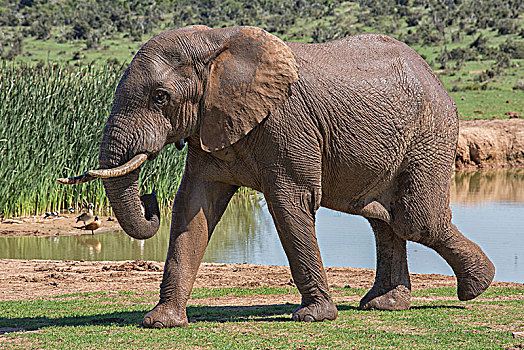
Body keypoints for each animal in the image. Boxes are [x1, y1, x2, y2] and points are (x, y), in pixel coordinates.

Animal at [58, 25, 496, 328]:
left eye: (160, 97)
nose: (149, 199)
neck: (216, 43)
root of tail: (432, 75)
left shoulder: (287, 124)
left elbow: (289, 203)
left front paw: (314, 317)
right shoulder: (211, 125)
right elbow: (193, 207)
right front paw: (160, 322)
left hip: (431, 132)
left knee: (416, 220)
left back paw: (477, 287)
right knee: (383, 219)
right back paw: (385, 305)